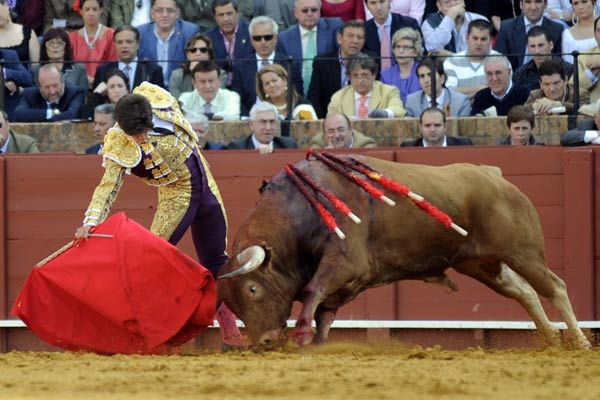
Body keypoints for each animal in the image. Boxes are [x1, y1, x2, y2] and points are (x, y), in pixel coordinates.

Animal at [217, 156, 592, 350]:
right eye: (232, 302)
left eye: (253, 289)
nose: (264, 342)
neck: (299, 212)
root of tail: (494, 175)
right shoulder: (350, 280)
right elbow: (325, 310)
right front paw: (318, 342)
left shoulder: (345, 262)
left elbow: (313, 292)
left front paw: (302, 336)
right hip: (482, 264)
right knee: (524, 291)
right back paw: (550, 340)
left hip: (523, 252)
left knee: (555, 287)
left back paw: (580, 342)